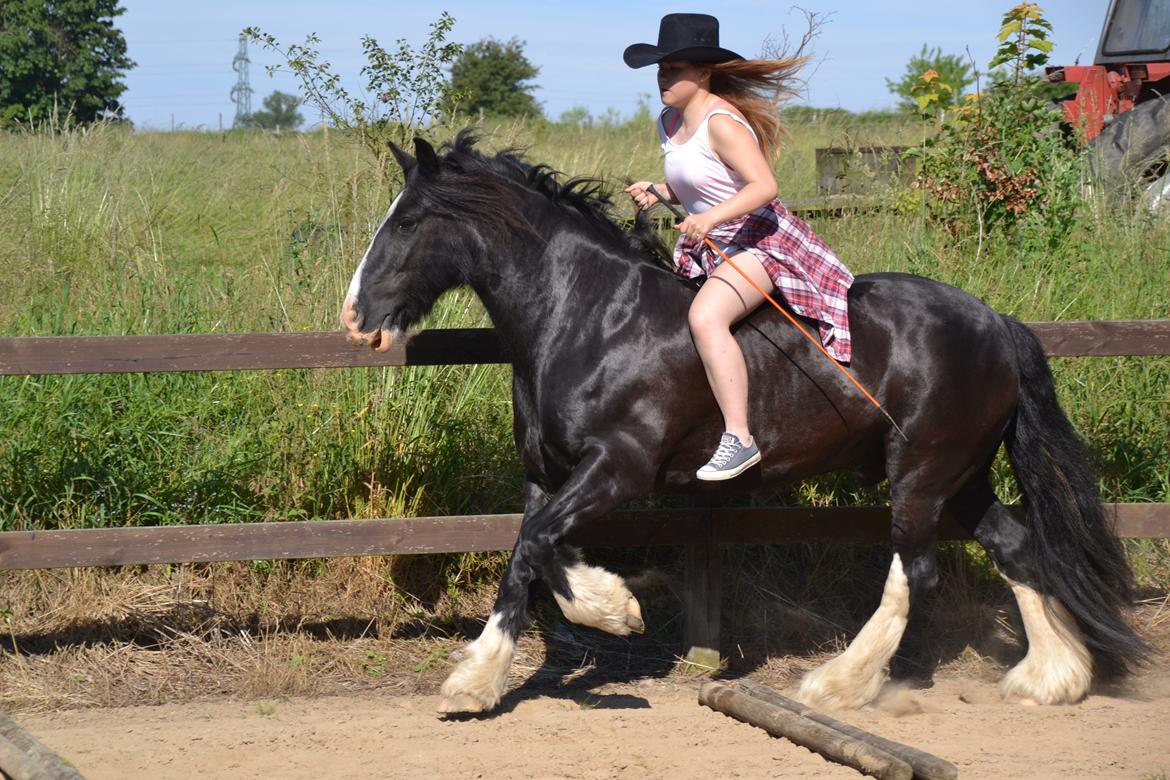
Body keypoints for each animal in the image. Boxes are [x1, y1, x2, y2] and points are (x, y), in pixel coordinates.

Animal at [339, 130, 1141, 715]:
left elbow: (535, 548)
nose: (354, 318)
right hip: (962, 474)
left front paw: (588, 625)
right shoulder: (548, 472)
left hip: (920, 472)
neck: (590, 316)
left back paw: (838, 684)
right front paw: (555, 639)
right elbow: (532, 551)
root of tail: (997, 323)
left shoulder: (621, 467)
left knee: (915, 572)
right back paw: (1051, 679)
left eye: (408, 221)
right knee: (1018, 549)